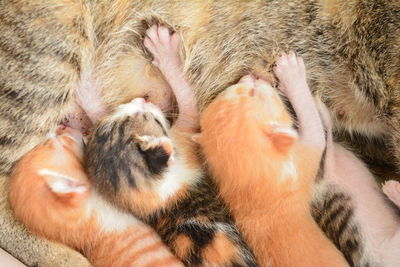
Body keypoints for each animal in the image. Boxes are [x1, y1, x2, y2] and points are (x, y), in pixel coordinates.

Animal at [85, 24, 258, 266]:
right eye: (151, 118)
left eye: (125, 109)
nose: (141, 100)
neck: (161, 200)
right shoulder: (187, 139)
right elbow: (188, 100)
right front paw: (165, 51)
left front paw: (85, 93)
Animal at [198, 52, 348, 267]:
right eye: (252, 92)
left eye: (230, 90)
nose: (250, 76)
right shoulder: (302, 162)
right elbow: (313, 128)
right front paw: (292, 74)